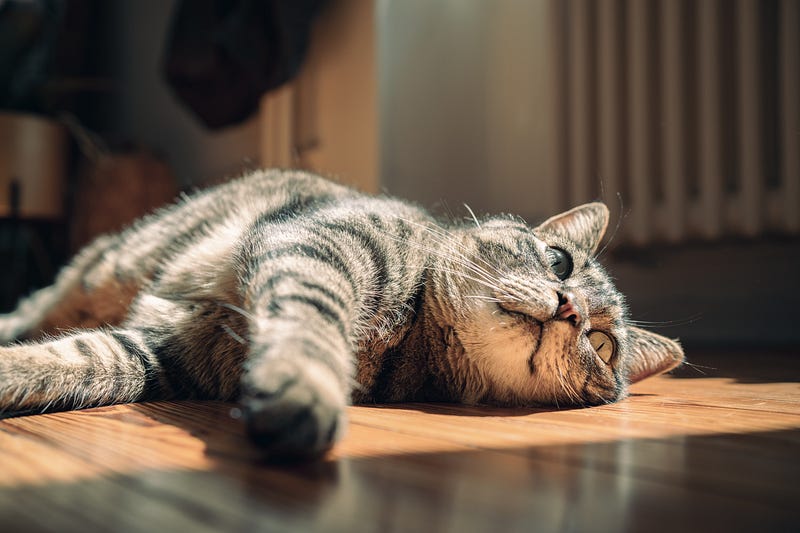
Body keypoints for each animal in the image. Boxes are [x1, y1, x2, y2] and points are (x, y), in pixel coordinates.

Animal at [0, 170, 680, 458]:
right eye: (560, 262)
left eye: (602, 343)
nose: (568, 308)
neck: (410, 334)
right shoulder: (318, 247)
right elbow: (312, 325)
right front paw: (304, 388)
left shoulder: (166, 353)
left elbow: (77, 362)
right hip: (103, 269)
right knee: (37, 303)